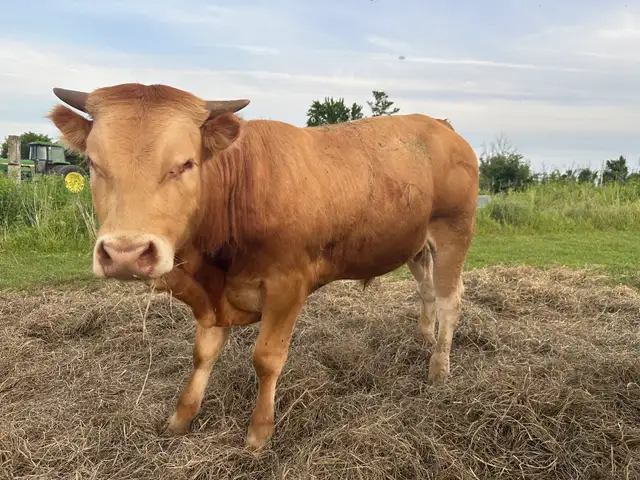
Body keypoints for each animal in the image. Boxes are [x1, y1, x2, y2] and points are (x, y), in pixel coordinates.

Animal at [48, 83, 479, 451]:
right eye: (93, 163)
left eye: (185, 164)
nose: (126, 253)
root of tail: (441, 126)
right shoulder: (213, 298)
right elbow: (202, 354)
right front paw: (180, 419)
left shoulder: (288, 286)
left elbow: (266, 358)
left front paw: (258, 433)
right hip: (417, 246)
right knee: (427, 291)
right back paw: (422, 338)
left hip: (453, 233)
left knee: (449, 300)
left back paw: (439, 368)